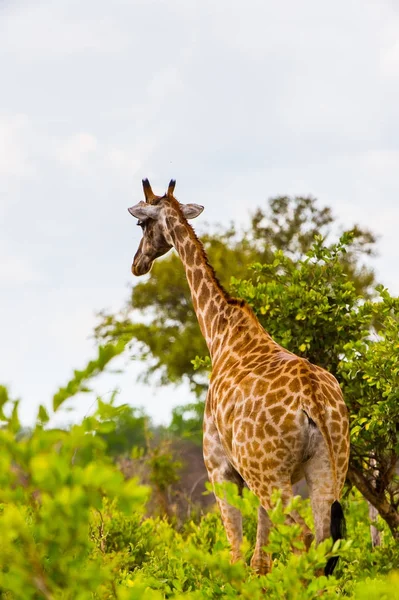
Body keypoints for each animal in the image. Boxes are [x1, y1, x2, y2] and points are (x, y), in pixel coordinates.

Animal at [128, 179, 350, 576]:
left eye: (141, 224)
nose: (137, 264)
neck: (220, 332)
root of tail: (314, 399)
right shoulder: (248, 474)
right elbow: (260, 558)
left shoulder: (221, 469)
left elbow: (235, 552)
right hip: (328, 465)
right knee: (325, 542)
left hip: (271, 475)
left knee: (303, 537)